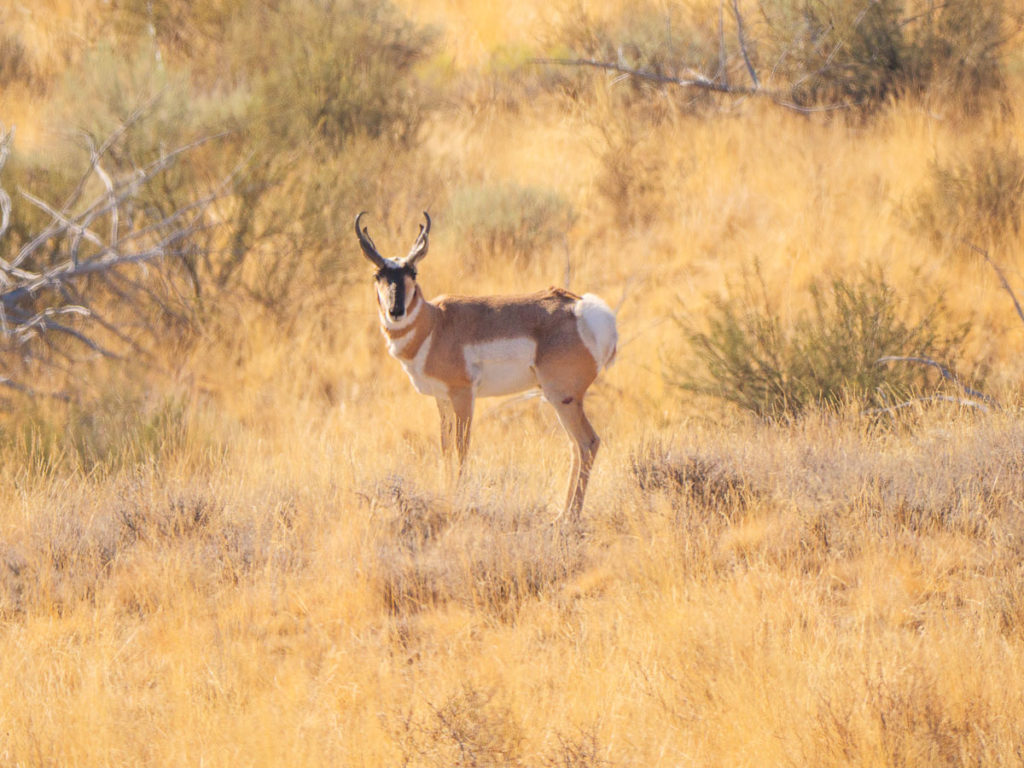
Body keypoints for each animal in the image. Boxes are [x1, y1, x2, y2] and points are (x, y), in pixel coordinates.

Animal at [360, 210, 614, 524]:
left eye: (413, 273)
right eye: (378, 275)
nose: (396, 311)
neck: (435, 324)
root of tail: (584, 309)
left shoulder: (463, 396)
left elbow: (461, 447)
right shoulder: (442, 399)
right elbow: (445, 449)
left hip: (562, 399)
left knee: (588, 442)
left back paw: (568, 517)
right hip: (560, 401)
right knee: (575, 446)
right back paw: (563, 512)